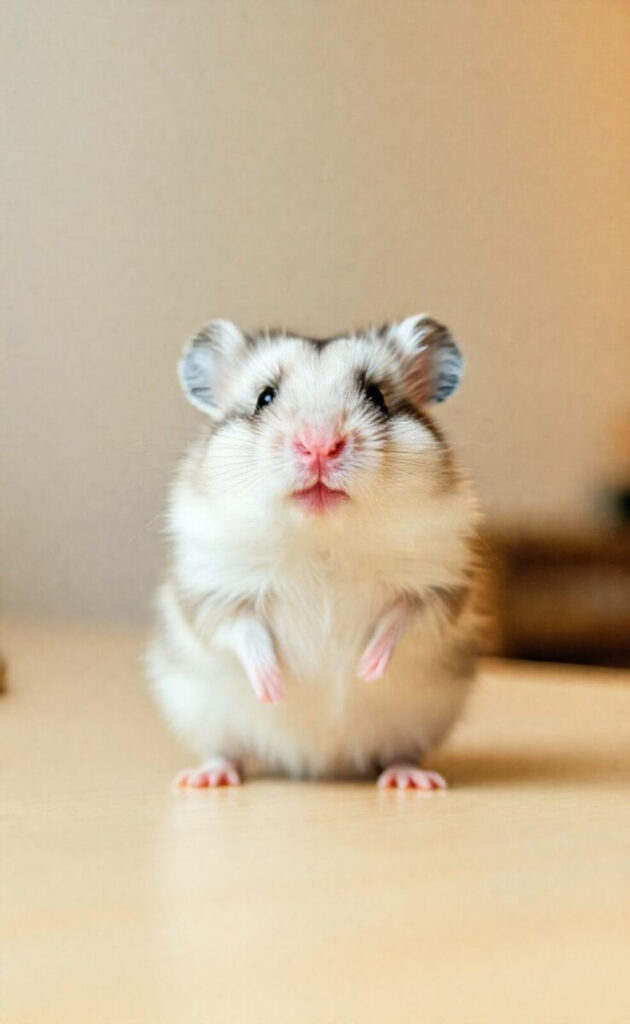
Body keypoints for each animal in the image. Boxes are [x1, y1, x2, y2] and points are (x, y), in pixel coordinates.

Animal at [147, 315, 484, 790]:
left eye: (377, 396)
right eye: (264, 398)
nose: (320, 445)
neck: (322, 540)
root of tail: (320, 764)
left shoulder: (439, 588)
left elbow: (402, 619)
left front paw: (366, 669)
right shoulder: (209, 592)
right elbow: (242, 631)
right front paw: (274, 687)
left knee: (399, 752)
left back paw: (412, 781)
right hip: (202, 713)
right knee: (226, 750)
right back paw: (205, 779)